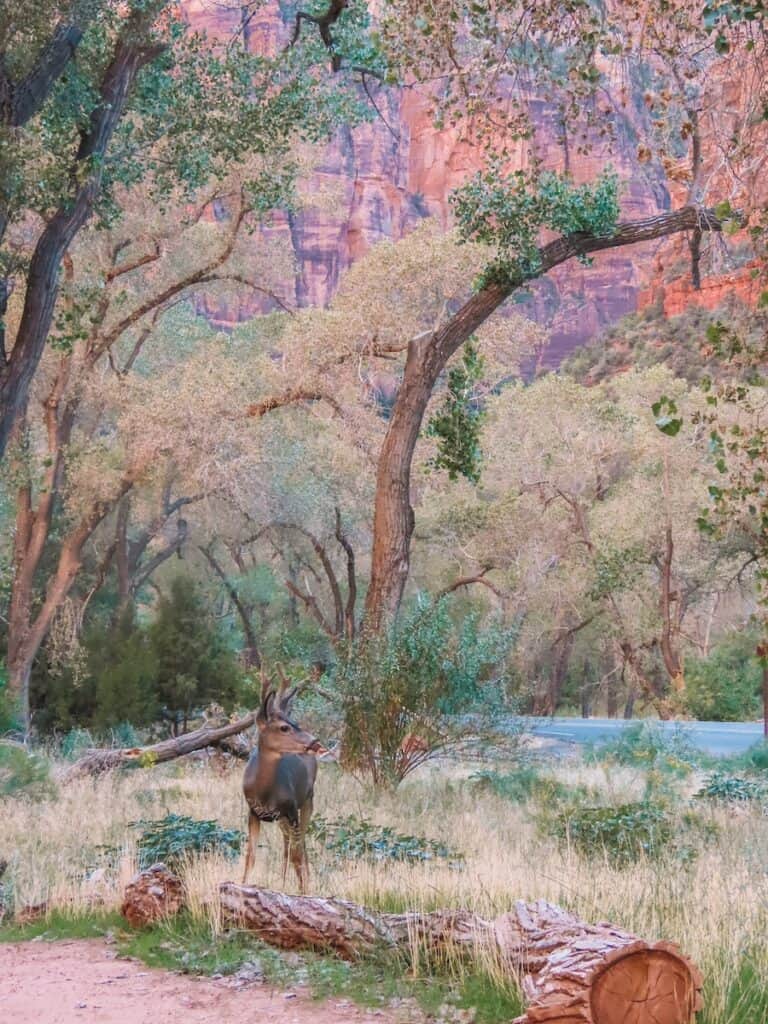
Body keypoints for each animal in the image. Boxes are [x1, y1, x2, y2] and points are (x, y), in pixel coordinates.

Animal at [243, 667, 321, 892]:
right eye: (284, 727)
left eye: (295, 722)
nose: (314, 741)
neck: (264, 792)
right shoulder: (253, 812)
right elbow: (250, 857)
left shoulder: (292, 808)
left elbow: (297, 856)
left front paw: (304, 893)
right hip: (282, 818)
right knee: (288, 845)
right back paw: (284, 881)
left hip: (307, 800)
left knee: (301, 845)